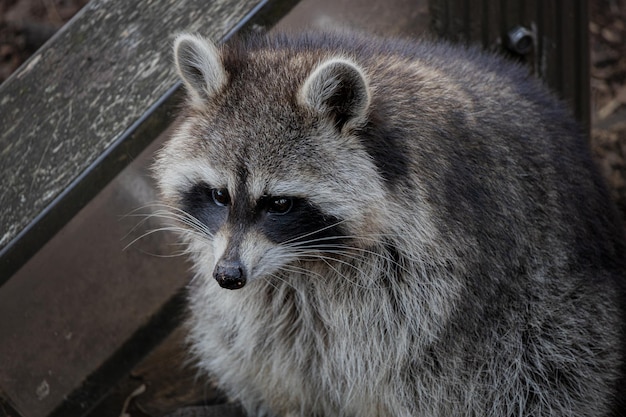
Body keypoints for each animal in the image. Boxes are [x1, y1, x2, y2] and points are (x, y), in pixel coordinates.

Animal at [154, 30, 624, 414]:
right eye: (219, 195)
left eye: (280, 204)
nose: (228, 275)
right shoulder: (267, 289)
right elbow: (274, 343)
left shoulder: (420, 272)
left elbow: (395, 362)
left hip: (546, 322)